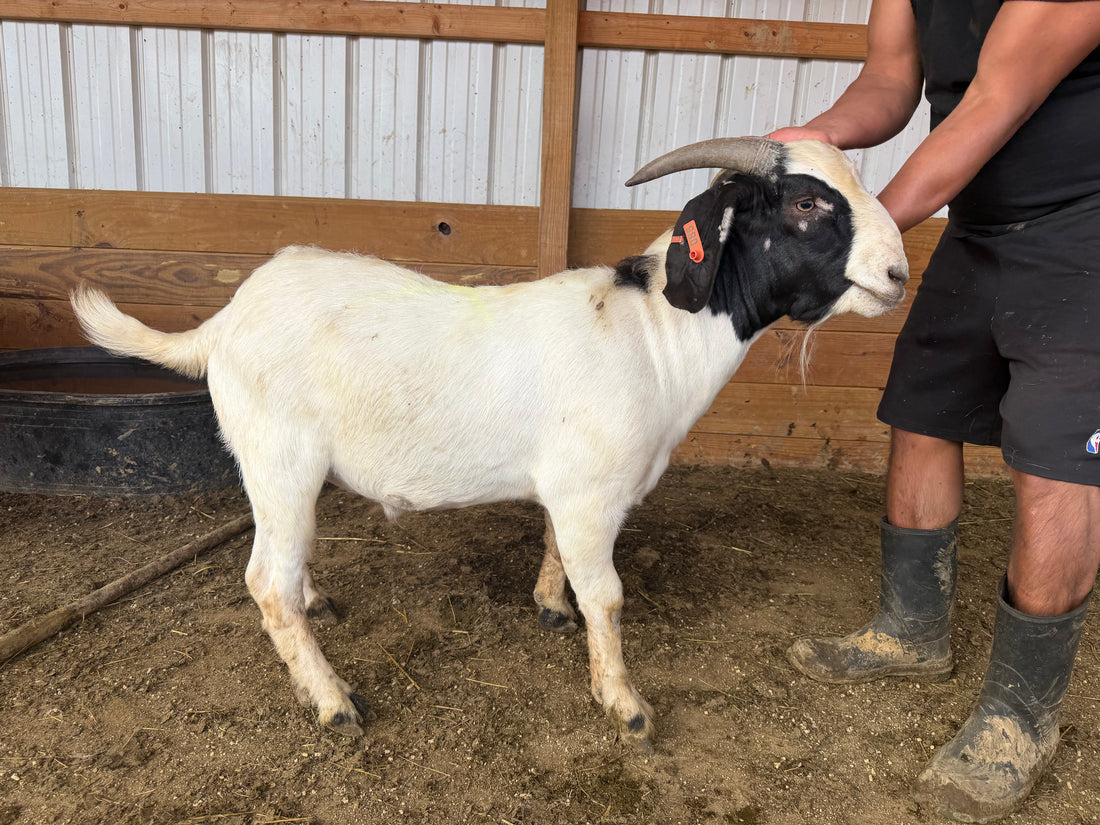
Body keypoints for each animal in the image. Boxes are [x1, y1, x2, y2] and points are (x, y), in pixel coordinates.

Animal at [70, 138, 908, 750]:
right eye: (805, 202)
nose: (899, 273)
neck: (655, 336)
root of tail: (226, 319)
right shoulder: (592, 492)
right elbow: (609, 595)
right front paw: (625, 703)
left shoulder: (570, 491)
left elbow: (554, 548)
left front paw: (550, 605)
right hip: (281, 456)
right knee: (265, 582)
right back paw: (332, 700)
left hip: (278, 471)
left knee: (284, 560)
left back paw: (317, 602)